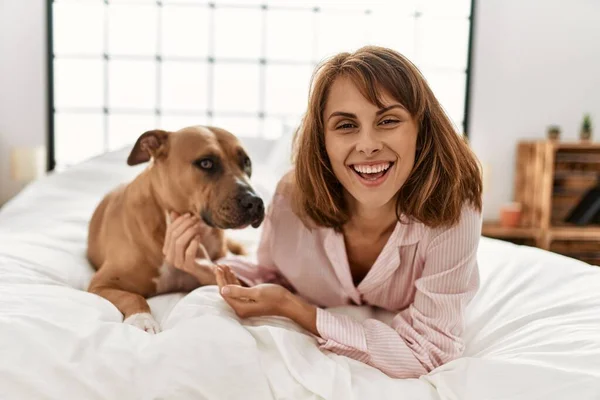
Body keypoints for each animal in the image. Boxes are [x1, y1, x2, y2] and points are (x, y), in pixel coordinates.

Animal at [85, 126, 264, 332]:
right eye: (206, 163)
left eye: (246, 162)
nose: (255, 202)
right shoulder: (101, 283)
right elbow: (132, 296)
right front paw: (142, 319)